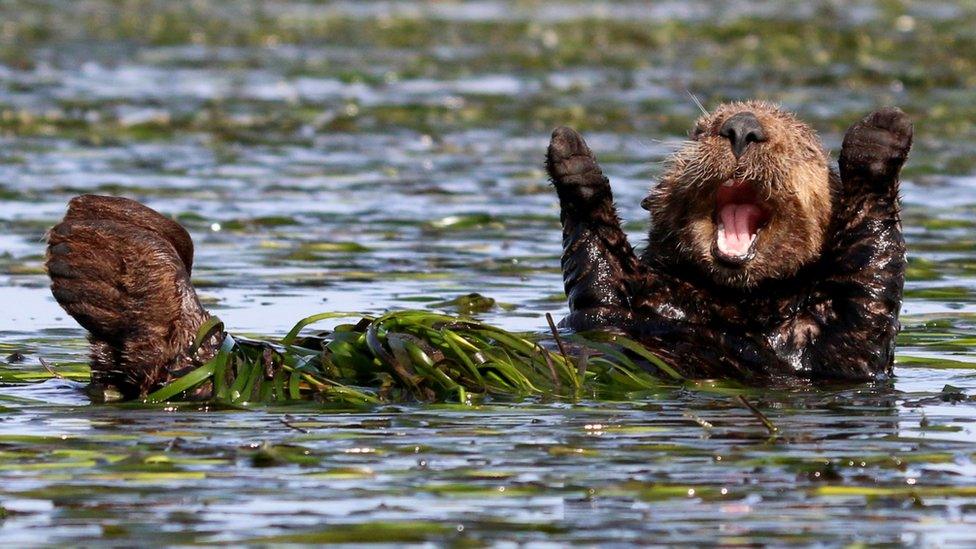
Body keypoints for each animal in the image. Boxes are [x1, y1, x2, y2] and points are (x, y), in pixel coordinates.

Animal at [544, 101, 912, 382]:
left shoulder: (838, 340)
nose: (742, 128)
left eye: (803, 146)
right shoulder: (620, 298)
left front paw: (881, 133)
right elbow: (598, 268)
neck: (733, 303)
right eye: (701, 130)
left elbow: (871, 279)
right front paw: (572, 154)